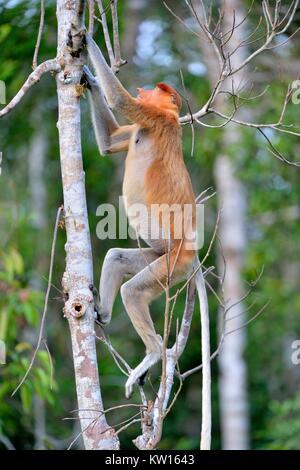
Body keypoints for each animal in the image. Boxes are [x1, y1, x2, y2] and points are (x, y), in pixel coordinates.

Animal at [84, 35, 197, 398]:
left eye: (155, 91)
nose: (144, 88)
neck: (170, 116)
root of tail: (192, 254)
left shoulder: (152, 117)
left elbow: (120, 100)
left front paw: (84, 38)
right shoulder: (144, 123)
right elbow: (109, 143)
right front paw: (89, 78)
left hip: (172, 265)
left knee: (133, 291)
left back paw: (153, 355)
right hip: (159, 257)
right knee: (117, 256)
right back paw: (102, 313)